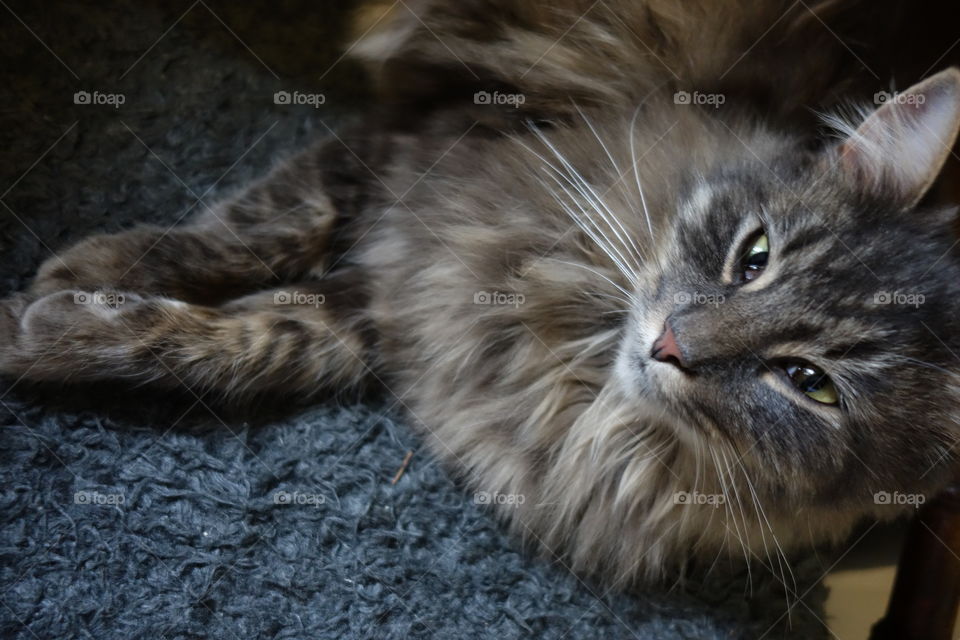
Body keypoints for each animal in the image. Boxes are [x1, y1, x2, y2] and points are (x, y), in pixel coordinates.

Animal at [1, 1, 960, 592]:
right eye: (753, 257)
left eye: (809, 385)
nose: (672, 345)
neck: (567, 373)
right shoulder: (411, 164)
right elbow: (253, 229)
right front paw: (77, 275)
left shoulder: (390, 306)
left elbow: (247, 339)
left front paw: (47, 328)